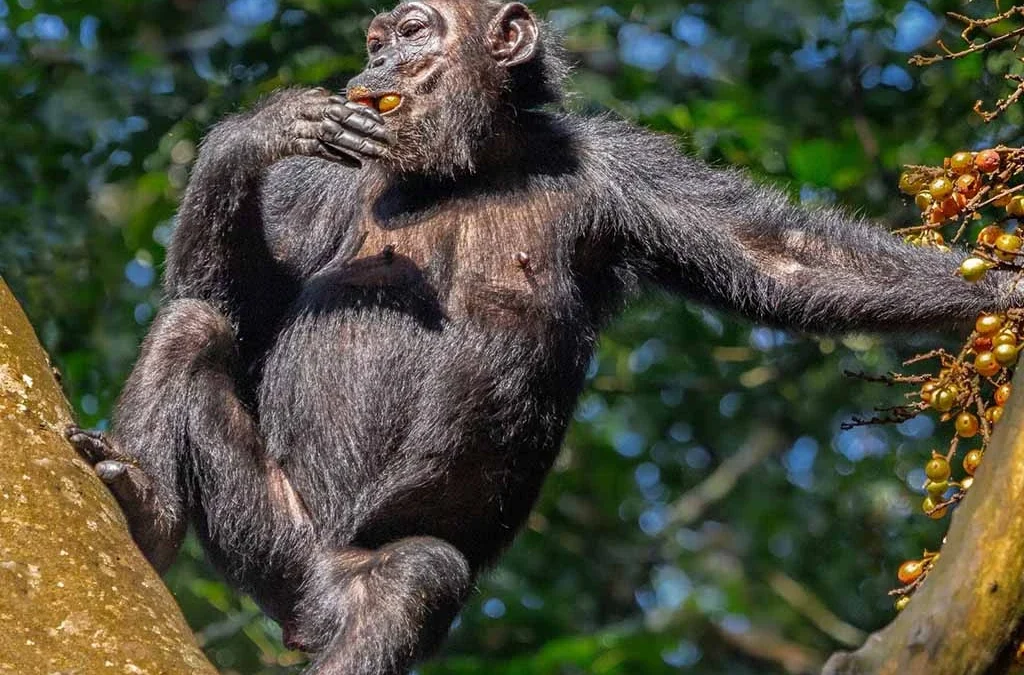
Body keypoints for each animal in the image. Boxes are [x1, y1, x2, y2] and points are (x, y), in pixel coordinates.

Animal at [65, 1, 1022, 673]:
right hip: (272, 542)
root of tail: (307, 605)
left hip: (332, 580)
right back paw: (145, 509)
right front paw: (255, 130)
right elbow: (234, 303)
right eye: (377, 38)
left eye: (412, 29)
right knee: (192, 326)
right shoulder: (317, 185)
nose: (377, 58)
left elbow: (783, 257)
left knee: (413, 582)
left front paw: (1004, 291)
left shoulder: (621, 169)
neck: (472, 164)